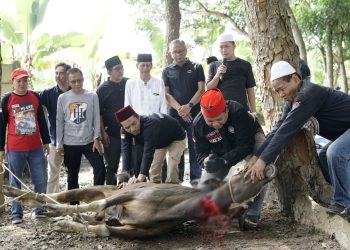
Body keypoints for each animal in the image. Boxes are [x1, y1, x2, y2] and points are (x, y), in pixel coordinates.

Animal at [2, 164, 276, 238]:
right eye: (243, 171)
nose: (268, 168)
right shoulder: (132, 194)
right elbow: (97, 207)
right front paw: (61, 218)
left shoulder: (134, 230)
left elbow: (103, 228)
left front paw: (66, 223)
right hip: (96, 187)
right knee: (56, 196)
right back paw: (15, 194)